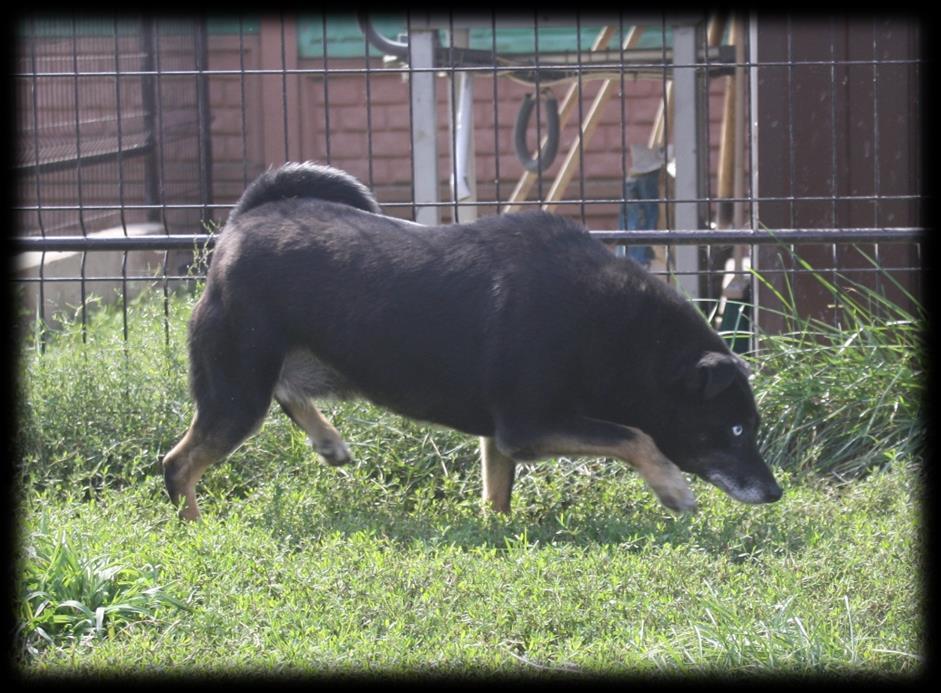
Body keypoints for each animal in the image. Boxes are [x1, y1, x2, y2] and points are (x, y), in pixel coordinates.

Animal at [162, 162, 780, 520]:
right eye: (735, 429)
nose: (774, 492)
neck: (620, 332)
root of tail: (241, 223)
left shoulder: (503, 435)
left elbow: (498, 496)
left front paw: (496, 531)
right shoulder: (527, 427)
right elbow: (637, 437)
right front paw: (673, 490)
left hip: (268, 370)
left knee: (286, 395)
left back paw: (328, 441)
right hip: (237, 389)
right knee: (177, 464)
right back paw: (196, 529)